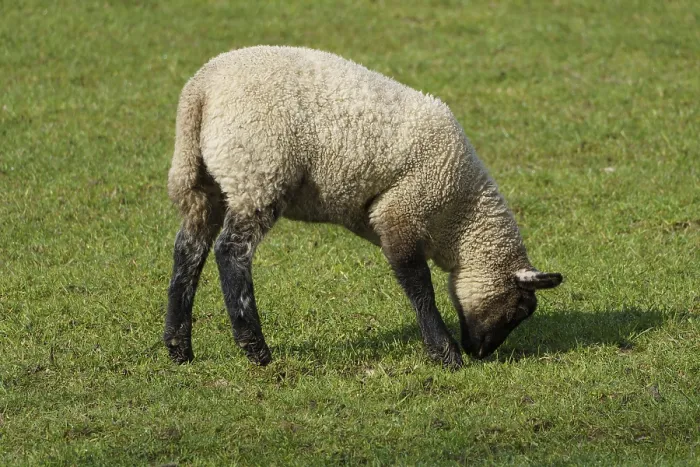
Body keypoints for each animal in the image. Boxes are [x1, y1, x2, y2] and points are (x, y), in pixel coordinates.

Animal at [163, 45, 563, 369]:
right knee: (231, 253)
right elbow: (419, 286)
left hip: (204, 183)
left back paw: (178, 347)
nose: (481, 353)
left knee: (188, 251)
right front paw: (445, 354)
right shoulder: (402, 210)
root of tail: (200, 91)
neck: (460, 219)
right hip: (258, 172)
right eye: (520, 308)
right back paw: (255, 349)